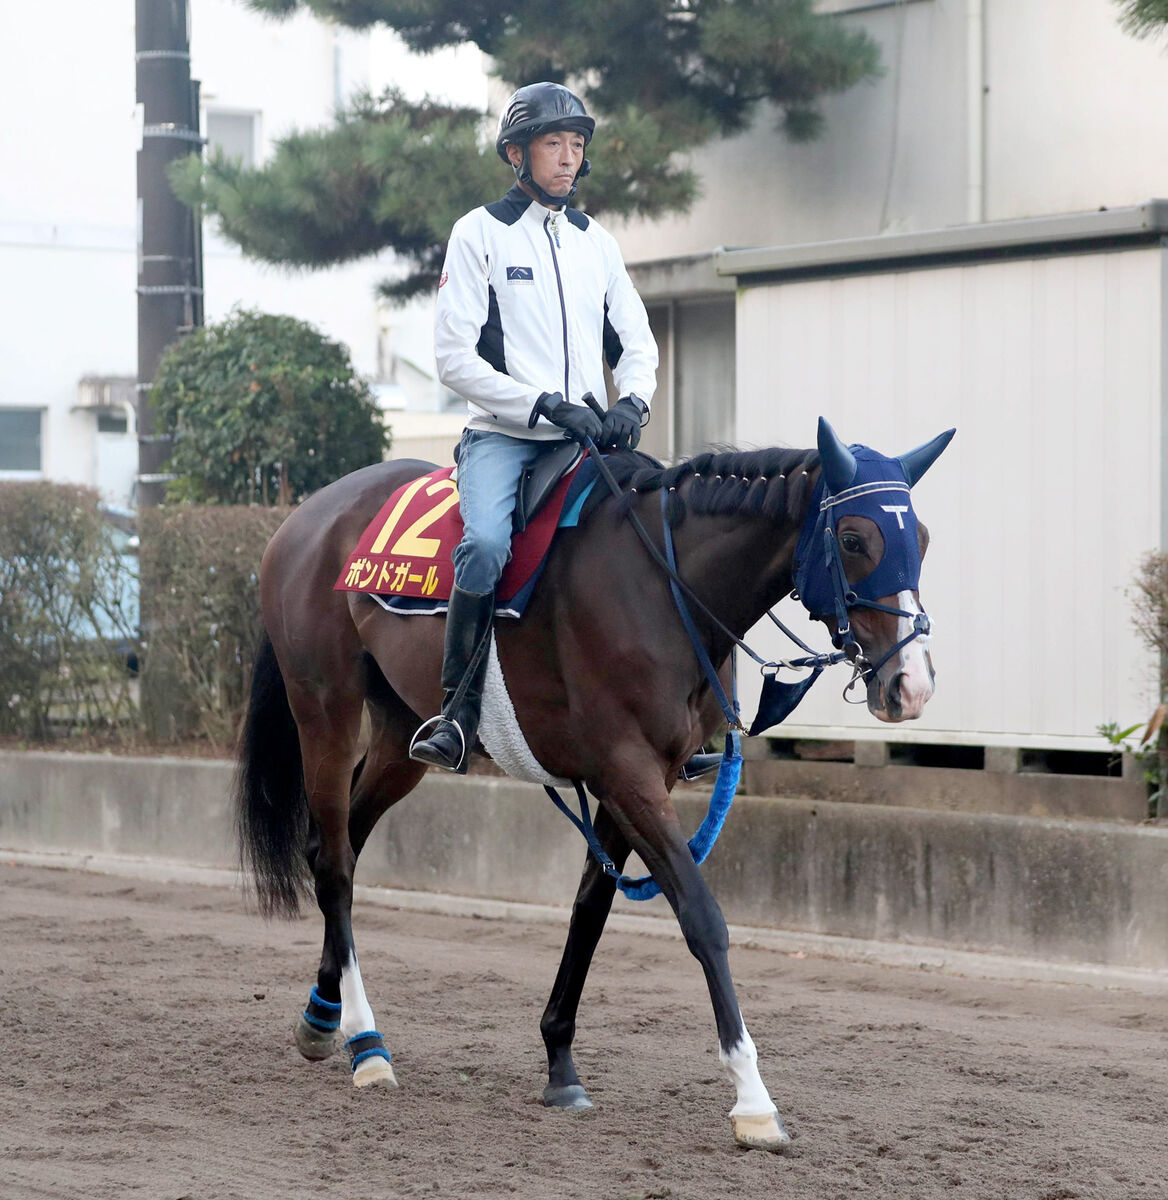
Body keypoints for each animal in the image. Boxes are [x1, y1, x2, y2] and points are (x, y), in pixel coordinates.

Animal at [235, 417, 945, 1147]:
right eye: (854, 539)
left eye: (919, 539)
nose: (910, 684)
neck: (662, 586)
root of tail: (305, 517)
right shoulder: (628, 775)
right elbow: (702, 918)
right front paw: (752, 1098)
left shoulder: (636, 780)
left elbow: (591, 910)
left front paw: (560, 1061)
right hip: (324, 706)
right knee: (336, 863)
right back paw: (365, 1041)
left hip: (402, 734)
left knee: (337, 843)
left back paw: (323, 1015)